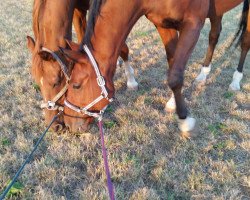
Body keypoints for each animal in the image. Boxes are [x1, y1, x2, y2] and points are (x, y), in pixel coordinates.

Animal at [26, 0, 139, 131]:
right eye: (38, 85)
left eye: (57, 82)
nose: (55, 126)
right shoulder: (77, 11)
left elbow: (123, 48)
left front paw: (131, 81)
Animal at [61, 0, 211, 133]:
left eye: (76, 86)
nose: (68, 124)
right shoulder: (162, 24)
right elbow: (173, 62)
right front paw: (172, 102)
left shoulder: (194, 22)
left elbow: (175, 76)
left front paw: (185, 121)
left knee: (213, 36)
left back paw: (203, 75)